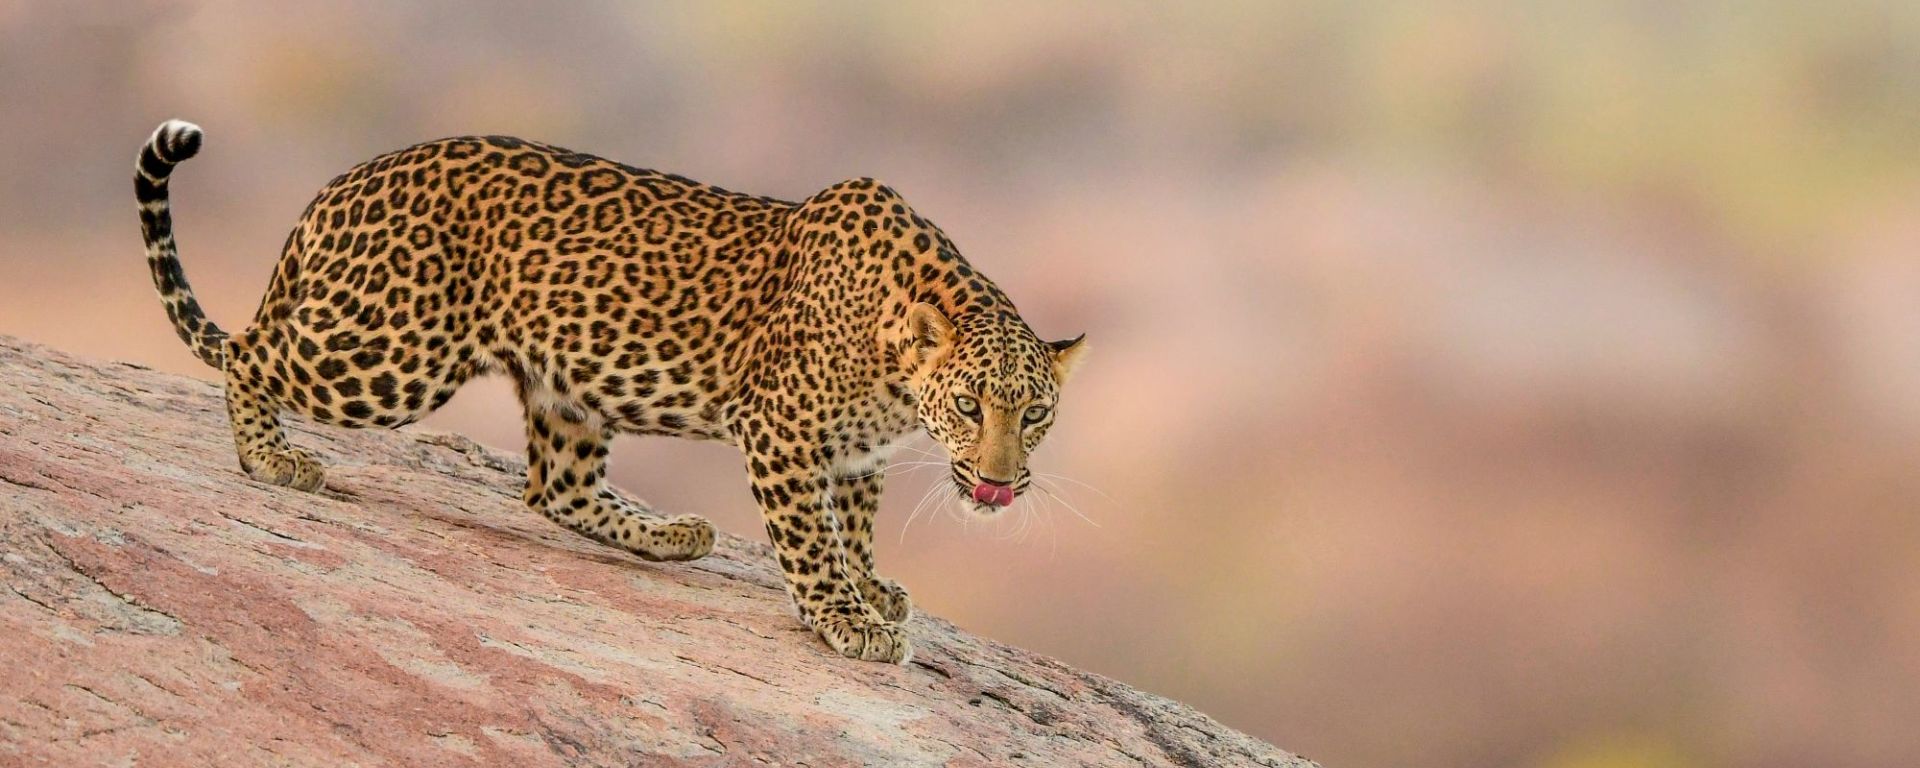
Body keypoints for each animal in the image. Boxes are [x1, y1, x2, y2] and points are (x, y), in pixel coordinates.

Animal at [133, 120, 1087, 664]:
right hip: (390, 349)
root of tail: (339, 185)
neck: (895, 362)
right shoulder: (782, 432)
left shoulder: (856, 453)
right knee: (250, 353)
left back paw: (672, 534)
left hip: (567, 388)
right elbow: (812, 541)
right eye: (969, 406)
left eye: (1034, 413)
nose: (998, 482)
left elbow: (851, 528)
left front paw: (871, 588)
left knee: (552, 488)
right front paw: (846, 620)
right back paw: (270, 457)